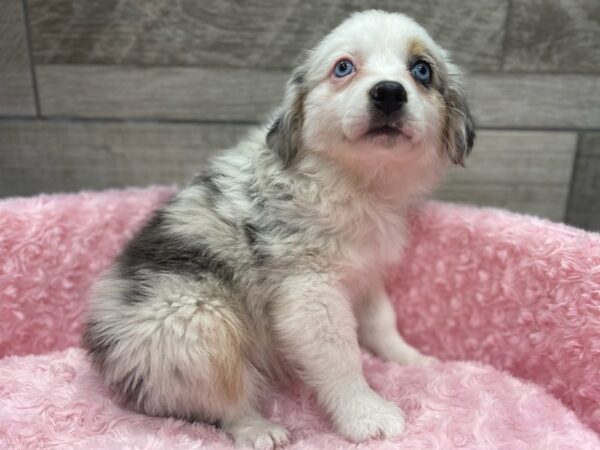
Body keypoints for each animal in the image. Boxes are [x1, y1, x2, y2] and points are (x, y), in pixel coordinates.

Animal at [83, 8, 474, 448]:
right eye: (344, 68)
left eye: (421, 70)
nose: (389, 93)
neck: (355, 182)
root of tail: (102, 353)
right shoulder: (309, 291)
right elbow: (341, 356)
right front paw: (366, 415)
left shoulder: (366, 272)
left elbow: (381, 320)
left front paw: (410, 359)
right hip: (201, 325)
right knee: (224, 401)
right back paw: (260, 429)